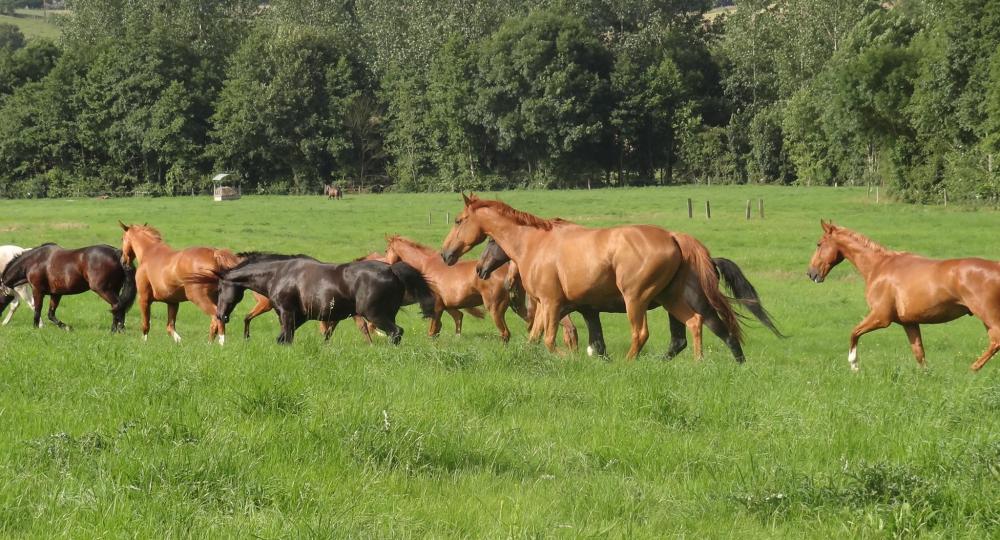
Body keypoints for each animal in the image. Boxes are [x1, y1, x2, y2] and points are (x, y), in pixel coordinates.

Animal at [0, 243, 136, 332]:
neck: (34, 261)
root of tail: (116, 253)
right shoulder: (56, 293)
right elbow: (51, 314)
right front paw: (66, 327)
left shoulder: (37, 290)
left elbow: (37, 310)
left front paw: (35, 328)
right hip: (113, 289)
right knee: (117, 307)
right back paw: (116, 329)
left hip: (103, 290)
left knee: (117, 305)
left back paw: (117, 330)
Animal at [205, 252, 436, 344]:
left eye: (220, 289)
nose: (221, 316)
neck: (279, 273)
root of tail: (391, 270)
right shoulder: (299, 317)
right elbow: (283, 339)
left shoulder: (286, 313)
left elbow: (286, 339)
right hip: (387, 314)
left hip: (375, 315)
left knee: (396, 333)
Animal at [382, 233, 580, 346]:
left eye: (386, 249)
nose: (385, 263)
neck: (425, 267)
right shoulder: (448, 307)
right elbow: (444, 327)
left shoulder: (437, 308)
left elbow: (433, 331)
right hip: (519, 306)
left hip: (496, 309)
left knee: (506, 333)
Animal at [476, 236, 780, 358]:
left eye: (491, 242)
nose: (480, 269)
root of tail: (707, 260)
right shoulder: (586, 310)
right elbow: (593, 341)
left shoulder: (567, 308)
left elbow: (552, 332)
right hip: (672, 306)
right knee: (683, 337)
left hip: (691, 303)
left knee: (718, 329)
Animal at [804, 219, 1000, 372]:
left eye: (819, 244)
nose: (811, 273)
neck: (879, 267)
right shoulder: (909, 323)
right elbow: (919, 353)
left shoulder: (880, 317)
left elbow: (854, 332)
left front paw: (854, 365)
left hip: (988, 315)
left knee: (996, 340)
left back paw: (973, 368)